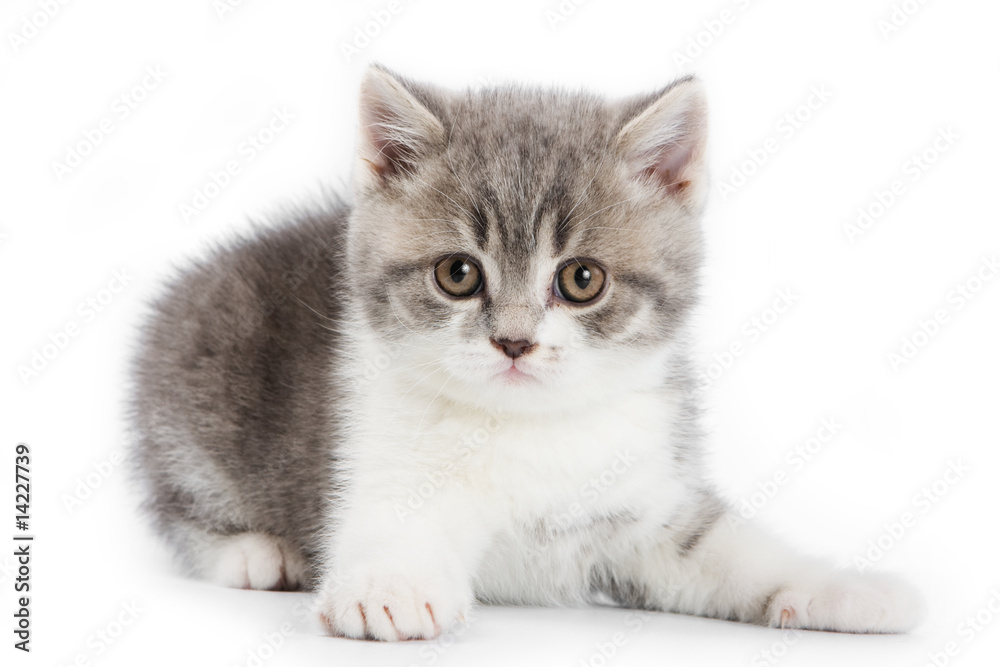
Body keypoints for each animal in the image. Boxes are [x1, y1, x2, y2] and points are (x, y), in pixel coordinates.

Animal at [129, 65, 924, 640]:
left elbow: (726, 551)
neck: (528, 428)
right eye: (458, 273)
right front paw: (390, 587)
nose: (514, 340)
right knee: (178, 503)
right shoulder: (373, 449)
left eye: (581, 279)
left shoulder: (646, 507)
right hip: (192, 374)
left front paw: (848, 588)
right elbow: (386, 523)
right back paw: (252, 552)